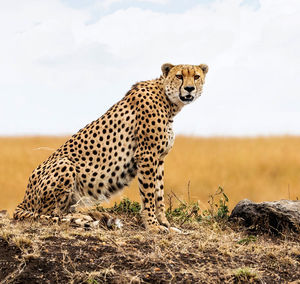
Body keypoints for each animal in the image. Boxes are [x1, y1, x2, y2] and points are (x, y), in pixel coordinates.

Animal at [14, 64, 209, 233]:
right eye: (179, 76)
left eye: (196, 76)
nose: (189, 89)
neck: (168, 101)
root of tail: (24, 199)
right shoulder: (146, 155)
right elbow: (148, 194)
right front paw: (152, 225)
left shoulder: (159, 158)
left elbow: (159, 193)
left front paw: (165, 223)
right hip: (65, 164)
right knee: (48, 214)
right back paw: (85, 219)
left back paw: (92, 216)